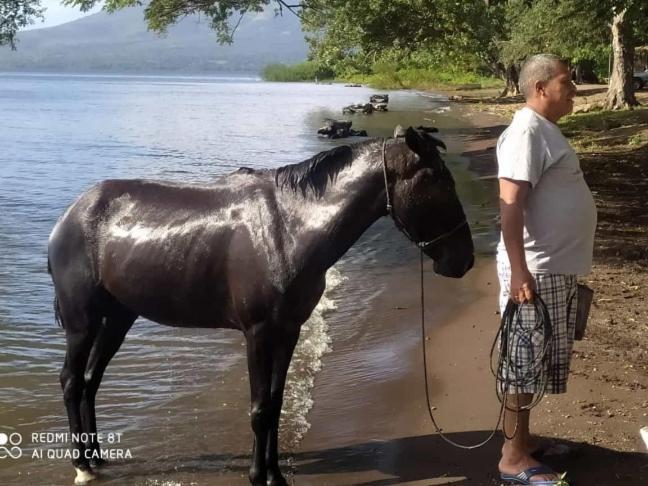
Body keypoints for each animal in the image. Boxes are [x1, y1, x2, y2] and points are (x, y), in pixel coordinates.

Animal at [48, 127, 474, 484]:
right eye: (440, 183)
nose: (464, 260)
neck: (289, 228)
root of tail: (70, 216)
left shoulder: (288, 331)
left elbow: (274, 403)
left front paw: (274, 474)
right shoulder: (257, 333)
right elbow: (259, 409)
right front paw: (258, 475)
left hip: (118, 317)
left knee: (90, 381)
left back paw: (96, 456)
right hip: (82, 321)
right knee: (71, 381)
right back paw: (82, 464)